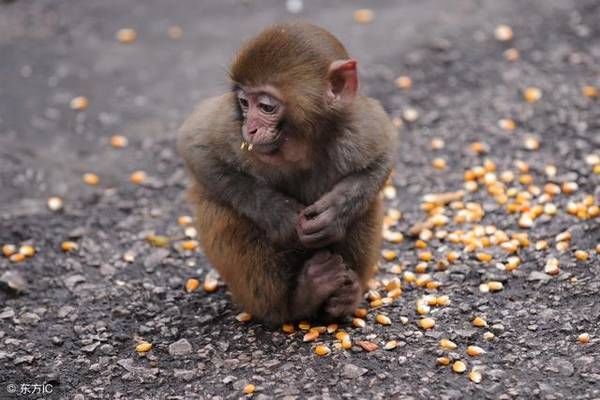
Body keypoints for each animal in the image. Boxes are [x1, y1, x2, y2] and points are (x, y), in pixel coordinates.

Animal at [179, 21, 398, 324]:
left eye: (266, 106)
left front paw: (334, 214)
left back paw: (345, 296)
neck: (299, 147)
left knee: (369, 204)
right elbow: (196, 146)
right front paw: (279, 213)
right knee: (220, 208)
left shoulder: (355, 123)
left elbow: (383, 154)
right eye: (244, 103)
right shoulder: (232, 128)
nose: (250, 129)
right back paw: (300, 298)